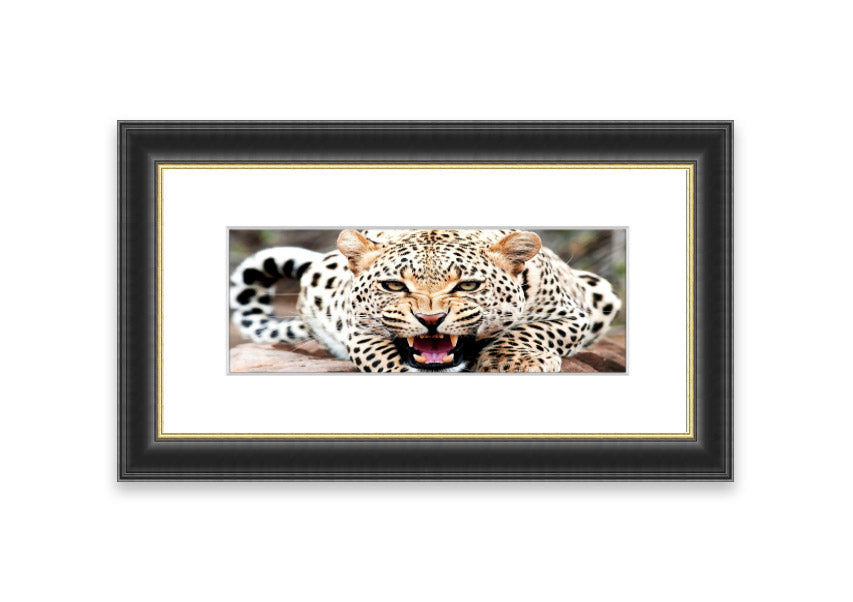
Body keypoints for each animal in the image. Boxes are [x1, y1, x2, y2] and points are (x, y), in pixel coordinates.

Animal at [230, 229, 621, 372]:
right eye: (393, 285)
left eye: (467, 285)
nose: (430, 320)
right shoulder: (358, 332)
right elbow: (384, 358)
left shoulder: (574, 314)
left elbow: (530, 331)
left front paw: (514, 361)